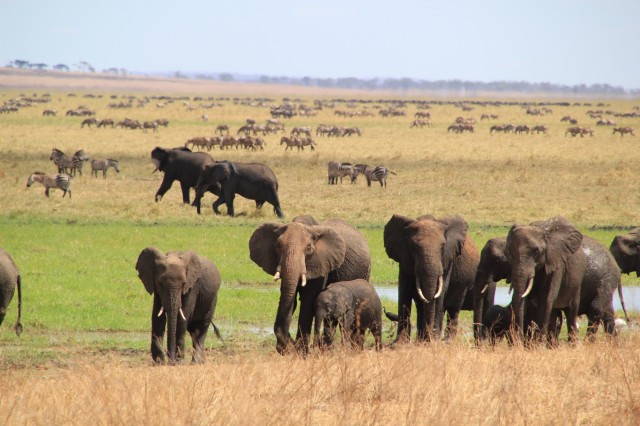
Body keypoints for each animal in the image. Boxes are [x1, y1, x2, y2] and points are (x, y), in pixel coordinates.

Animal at [249, 216, 370, 352]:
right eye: (278, 246)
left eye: (308, 248)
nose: (283, 347)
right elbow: (290, 298)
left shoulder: (321, 264)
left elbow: (308, 301)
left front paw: (301, 351)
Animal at [382, 213, 478, 342]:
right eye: (414, 247)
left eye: (442, 246)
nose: (430, 336)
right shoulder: (404, 257)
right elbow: (404, 291)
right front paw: (400, 343)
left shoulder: (447, 259)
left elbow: (440, 293)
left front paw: (433, 340)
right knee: (421, 306)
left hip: (464, 283)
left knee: (453, 308)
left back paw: (447, 340)